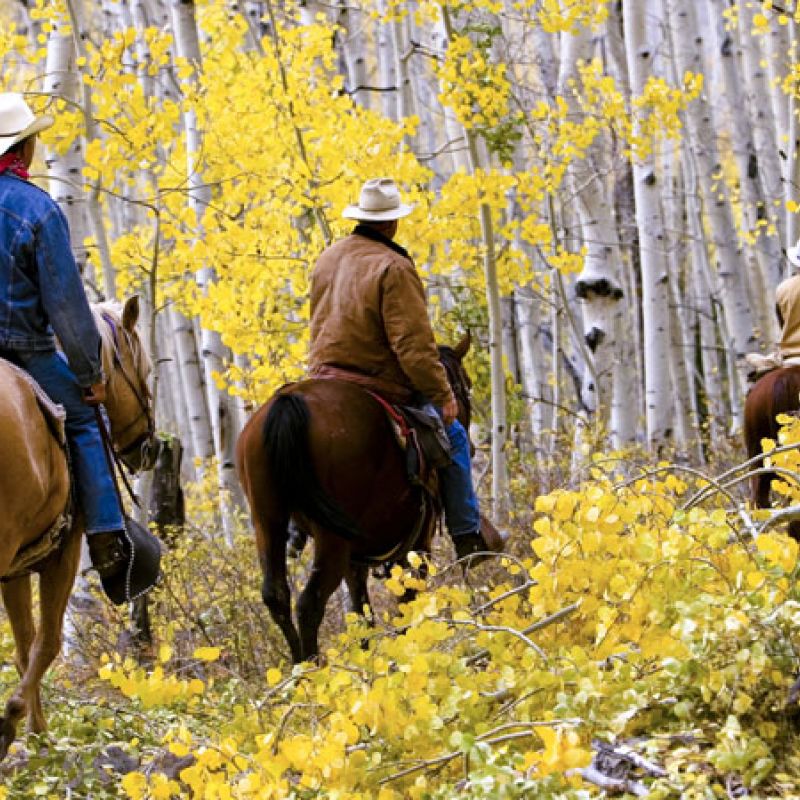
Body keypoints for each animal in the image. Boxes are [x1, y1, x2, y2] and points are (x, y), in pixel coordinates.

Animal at [0, 296, 155, 759]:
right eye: (144, 371)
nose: (149, 447)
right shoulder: (62, 555)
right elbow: (47, 641)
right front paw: (16, 722)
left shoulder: (16, 569)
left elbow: (24, 644)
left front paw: (37, 735)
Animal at [236, 335, 472, 664]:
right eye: (465, 386)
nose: (470, 445)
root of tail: (288, 402)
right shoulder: (417, 546)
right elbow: (405, 605)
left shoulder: (356, 560)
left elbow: (361, 615)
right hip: (332, 539)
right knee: (309, 603)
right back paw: (314, 669)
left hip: (267, 521)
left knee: (276, 595)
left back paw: (299, 670)